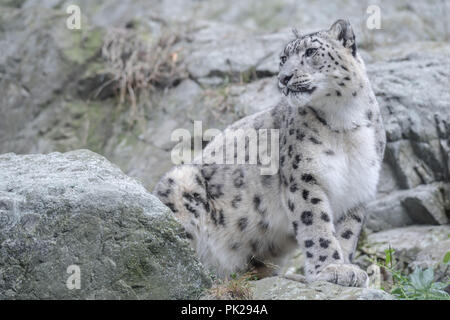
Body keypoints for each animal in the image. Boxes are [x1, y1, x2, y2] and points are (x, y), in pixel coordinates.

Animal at [156, 20, 386, 288]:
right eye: (283, 58)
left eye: (310, 52)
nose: (283, 78)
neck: (344, 122)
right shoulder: (303, 178)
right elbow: (316, 224)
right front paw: (332, 268)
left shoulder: (358, 186)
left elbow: (347, 233)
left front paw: (347, 268)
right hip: (181, 181)